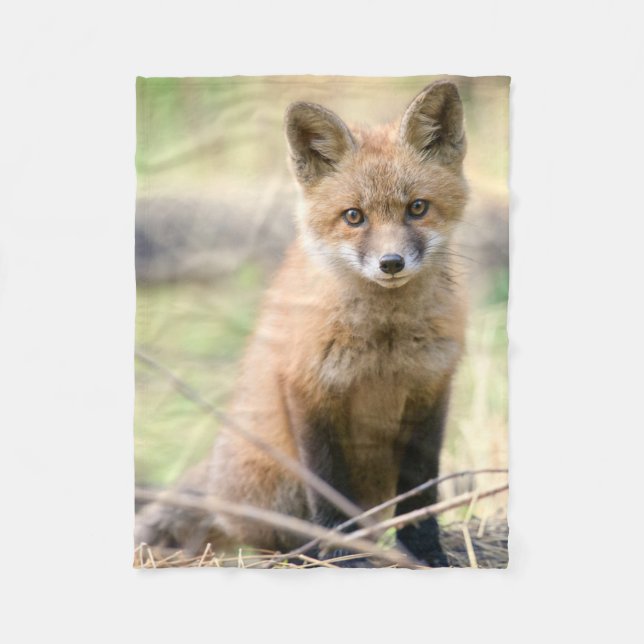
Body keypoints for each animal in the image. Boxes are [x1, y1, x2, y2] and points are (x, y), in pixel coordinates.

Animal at [135, 80, 469, 567]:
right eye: (354, 216)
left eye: (417, 208)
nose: (391, 263)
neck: (384, 345)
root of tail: (216, 483)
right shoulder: (309, 390)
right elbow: (328, 491)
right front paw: (340, 554)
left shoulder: (431, 392)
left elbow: (421, 492)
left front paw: (427, 552)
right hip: (276, 481)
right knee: (271, 537)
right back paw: (304, 553)